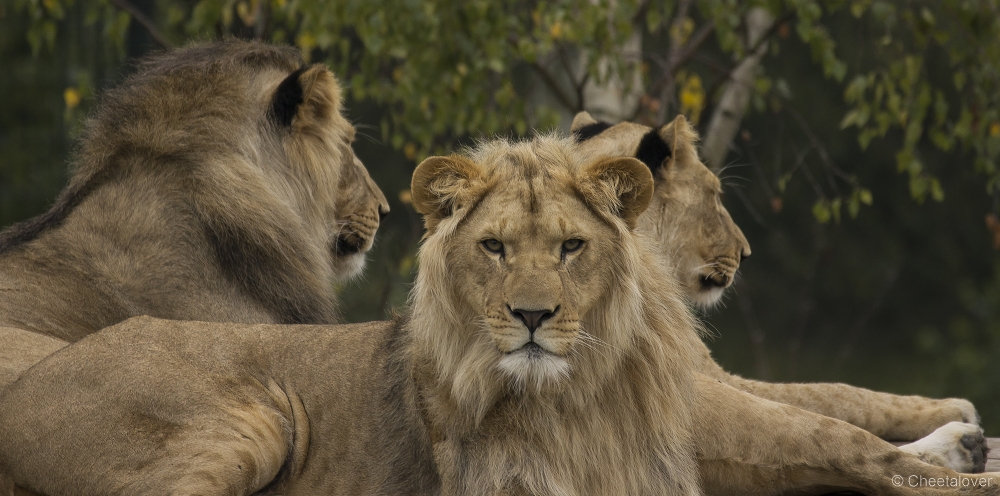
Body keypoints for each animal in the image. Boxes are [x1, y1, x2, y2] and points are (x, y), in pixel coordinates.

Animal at [1, 135, 1000, 496]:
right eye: (492, 247)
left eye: (570, 245)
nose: (530, 315)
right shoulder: (702, 413)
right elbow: (832, 427)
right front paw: (961, 456)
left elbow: (832, 398)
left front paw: (960, 432)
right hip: (251, 416)